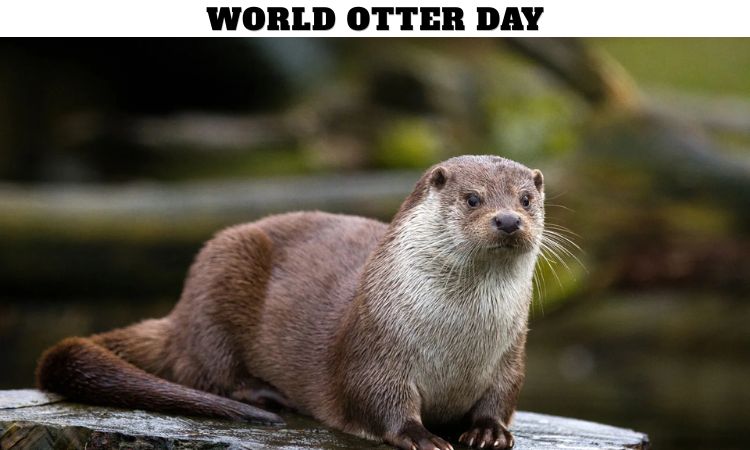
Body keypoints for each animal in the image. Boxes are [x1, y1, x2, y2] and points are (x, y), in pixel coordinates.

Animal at [37, 155, 545, 450]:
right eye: (473, 198)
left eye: (526, 199)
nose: (507, 220)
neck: (458, 341)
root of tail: (178, 316)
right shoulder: (374, 347)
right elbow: (377, 399)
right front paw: (421, 436)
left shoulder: (511, 355)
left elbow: (502, 397)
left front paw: (488, 431)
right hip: (219, 272)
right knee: (203, 368)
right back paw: (264, 394)